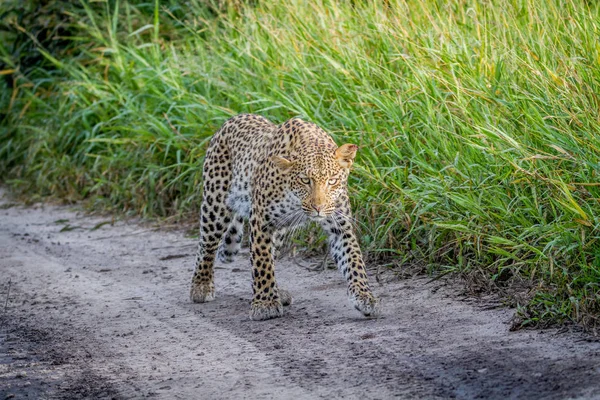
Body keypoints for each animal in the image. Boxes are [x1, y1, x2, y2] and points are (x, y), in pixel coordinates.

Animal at [190, 114, 380, 320]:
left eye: (332, 181)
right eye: (305, 180)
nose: (318, 207)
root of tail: (232, 119)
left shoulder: (340, 226)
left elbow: (353, 260)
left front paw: (365, 297)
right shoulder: (261, 221)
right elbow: (262, 262)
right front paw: (265, 305)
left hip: (279, 230)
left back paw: (277, 292)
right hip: (215, 204)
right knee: (206, 245)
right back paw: (201, 286)